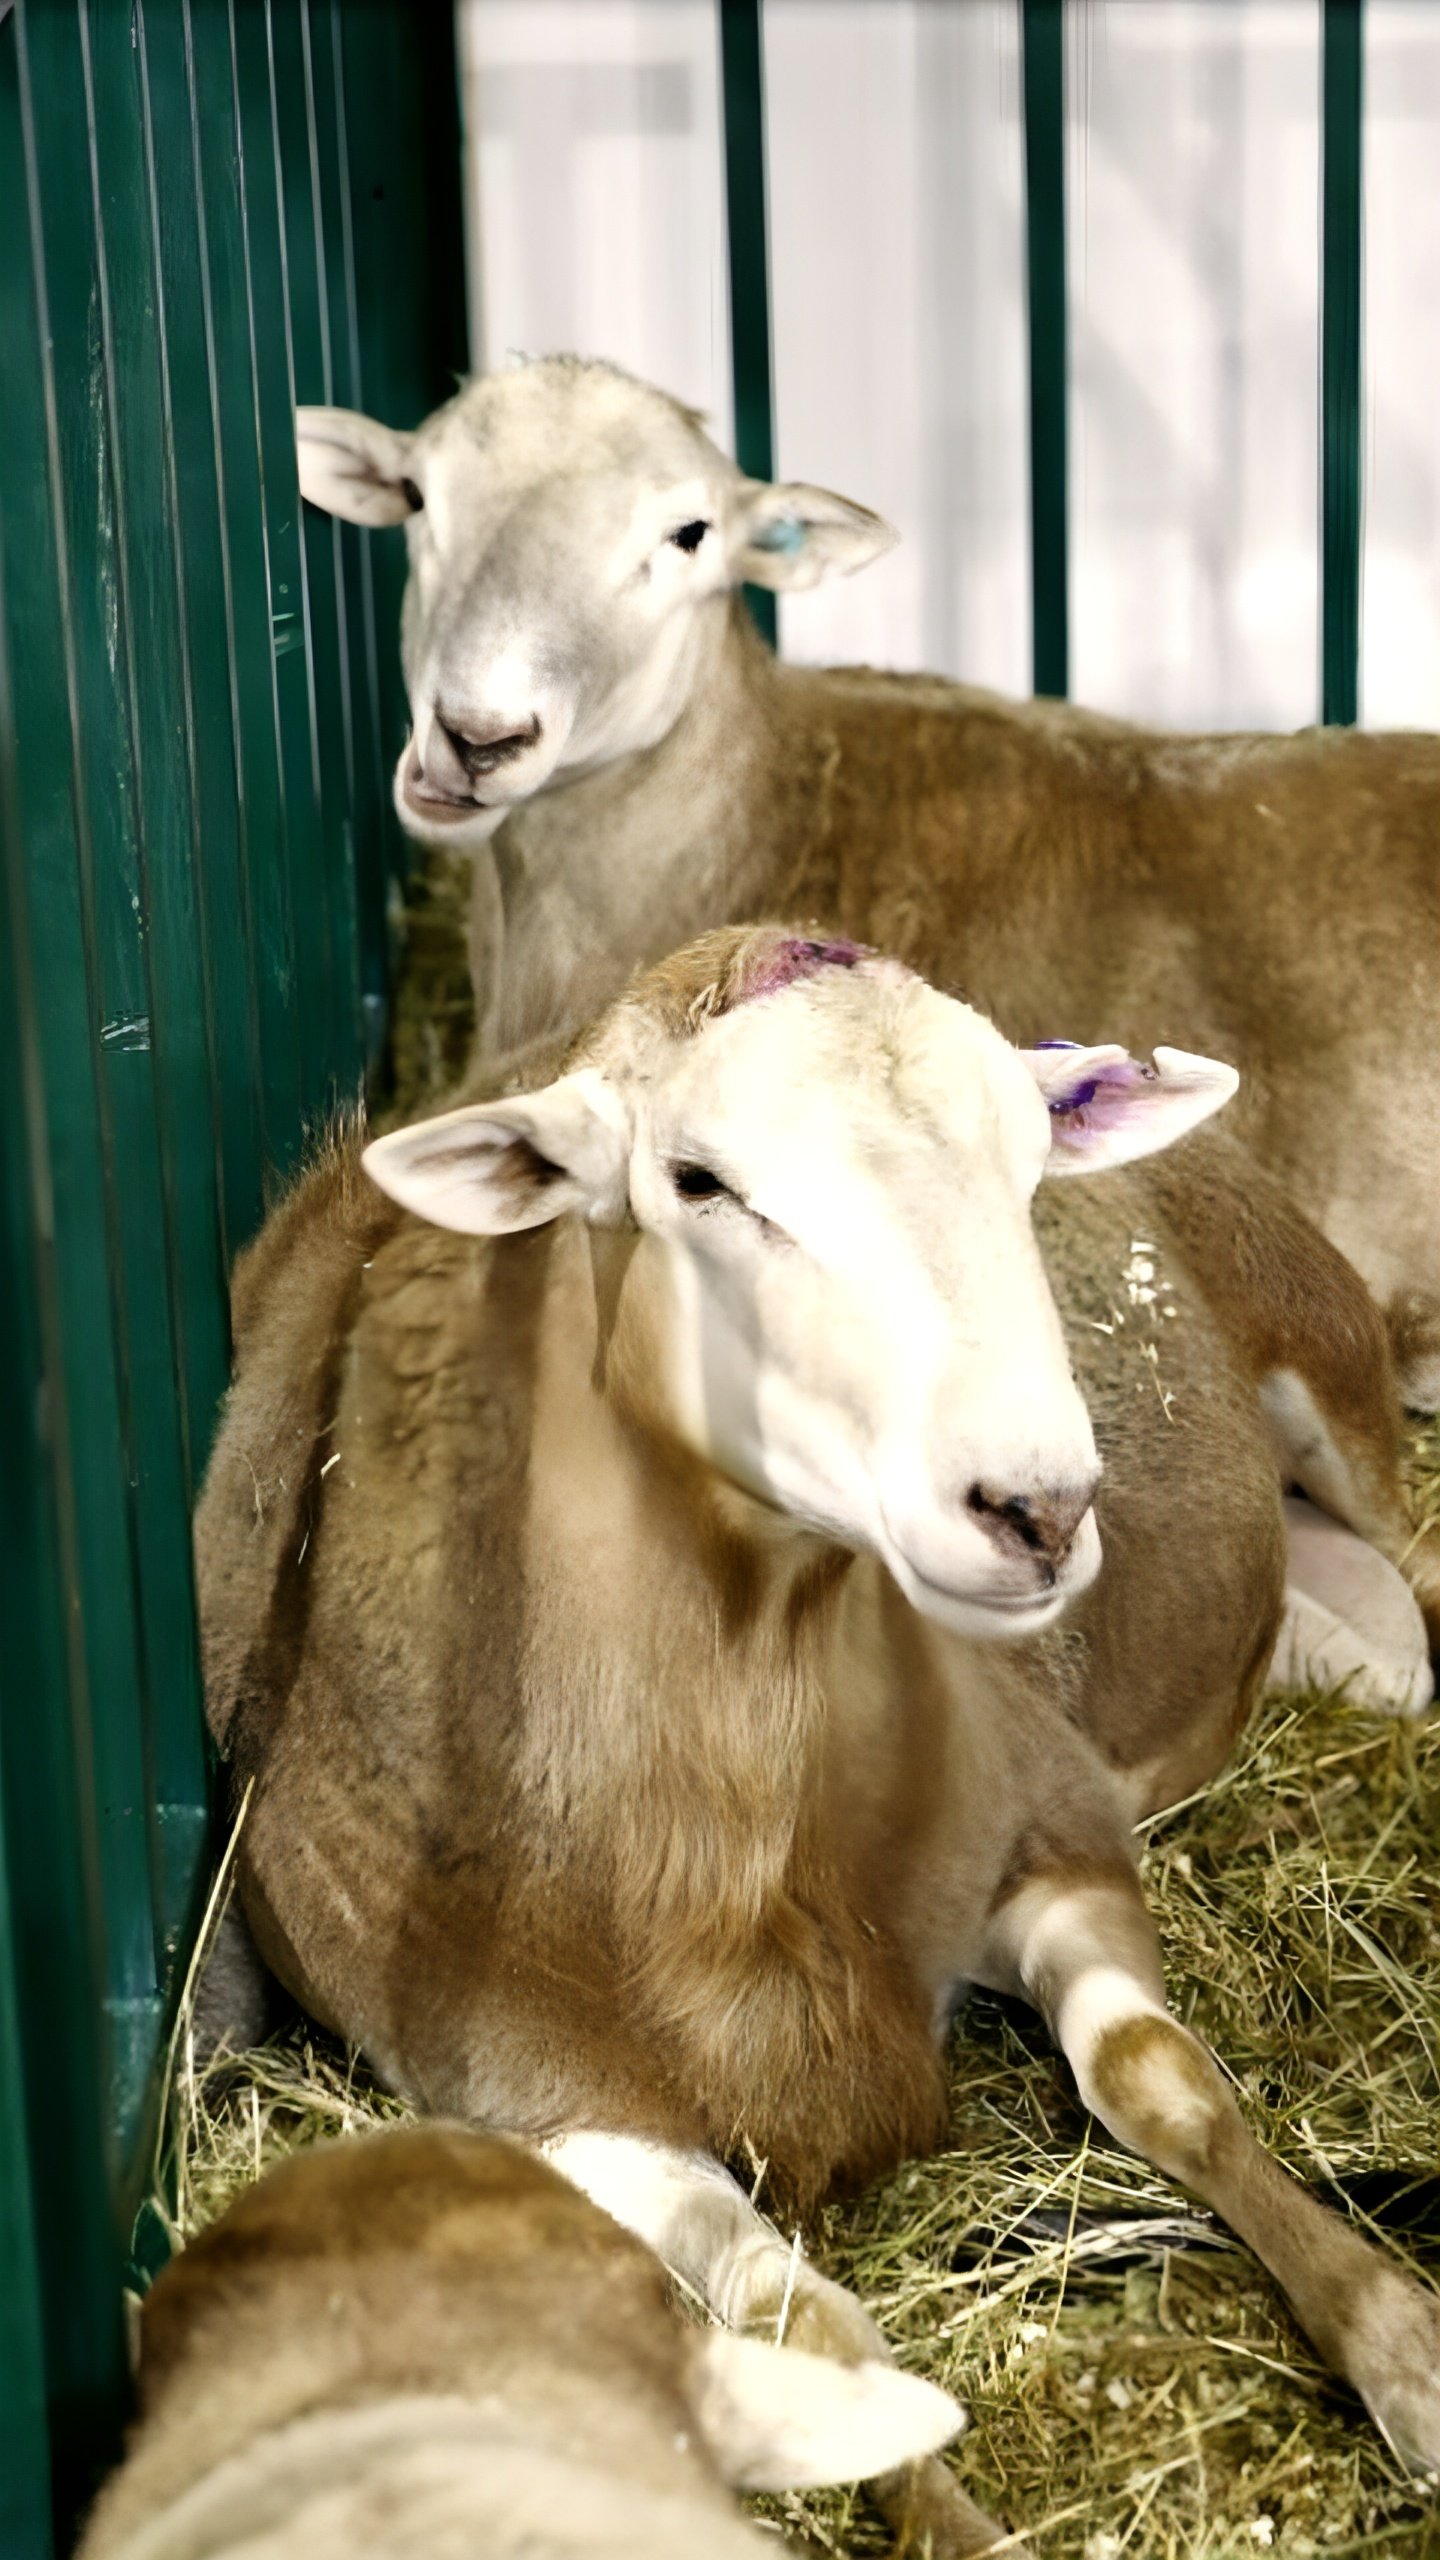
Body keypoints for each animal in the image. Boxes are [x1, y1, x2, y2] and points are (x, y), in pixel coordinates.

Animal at [198, 931, 1434, 2549]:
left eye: (1029, 1161)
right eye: (698, 1183)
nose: (1040, 1505)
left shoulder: (1051, 1823)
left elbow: (1159, 2076)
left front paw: (1408, 2357)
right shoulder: (536, 2097)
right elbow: (797, 2322)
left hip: (1330, 1371)